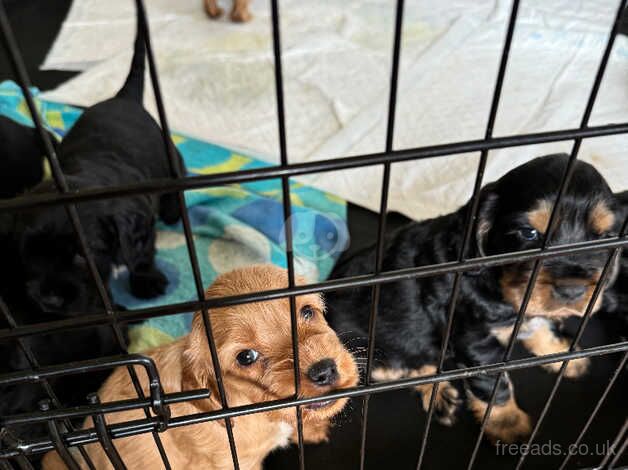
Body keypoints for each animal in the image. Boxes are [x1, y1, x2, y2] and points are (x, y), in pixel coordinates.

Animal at [13, 4, 183, 316]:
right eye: (28, 252)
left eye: (83, 257)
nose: (48, 301)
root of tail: (125, 97)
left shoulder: (142, 221)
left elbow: (143, 253)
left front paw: (146, 281)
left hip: (169, 154)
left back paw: (173, 211)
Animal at [326, 155, 620, 444]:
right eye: (529, 233)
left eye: (603, 237)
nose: (573, 291)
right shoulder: (475, 342)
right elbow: (494, 385)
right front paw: (509, 425)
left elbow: (542, 327)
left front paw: (564, 355)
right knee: (409, 364)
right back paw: (438, 393)